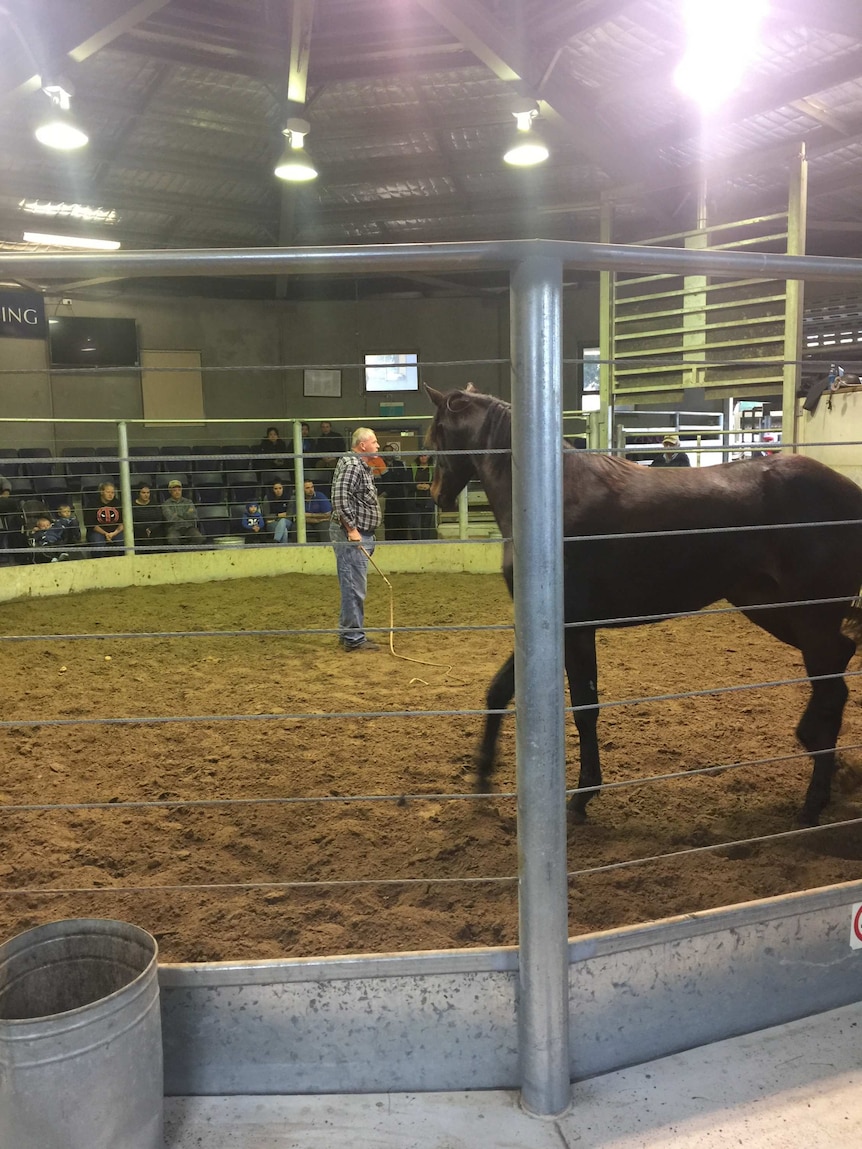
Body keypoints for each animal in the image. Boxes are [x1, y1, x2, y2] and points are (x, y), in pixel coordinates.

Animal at [429, 386, 862, 827]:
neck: (552, 507)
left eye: (437, 434)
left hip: (809, 615)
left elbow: (584, 709)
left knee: (831, 689)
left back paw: (812, 802)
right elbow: (500, 691)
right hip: (773, 608)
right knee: (839, 667)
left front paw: (581, 798)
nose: (437, 494)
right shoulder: (546, 630)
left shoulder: (574, 628)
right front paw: (483, 782)